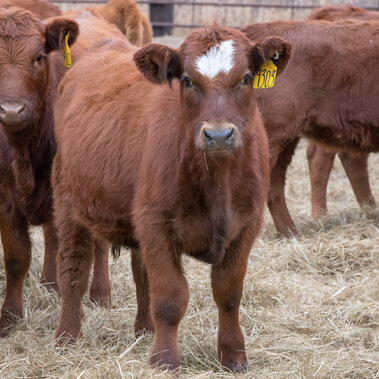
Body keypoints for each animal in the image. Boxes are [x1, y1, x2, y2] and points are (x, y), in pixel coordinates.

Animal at [52, 23, 292, 372]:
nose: (218, 135)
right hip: (68, 204)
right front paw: (164, 358)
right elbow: (169, 296)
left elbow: (229, 294)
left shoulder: (247, 225)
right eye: (187, 79)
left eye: (247, 77)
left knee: (141, 274)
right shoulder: (156, 223)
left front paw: (234, 356)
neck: (217, 180)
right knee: (73, 269)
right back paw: (67, 336)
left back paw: (144, 330)